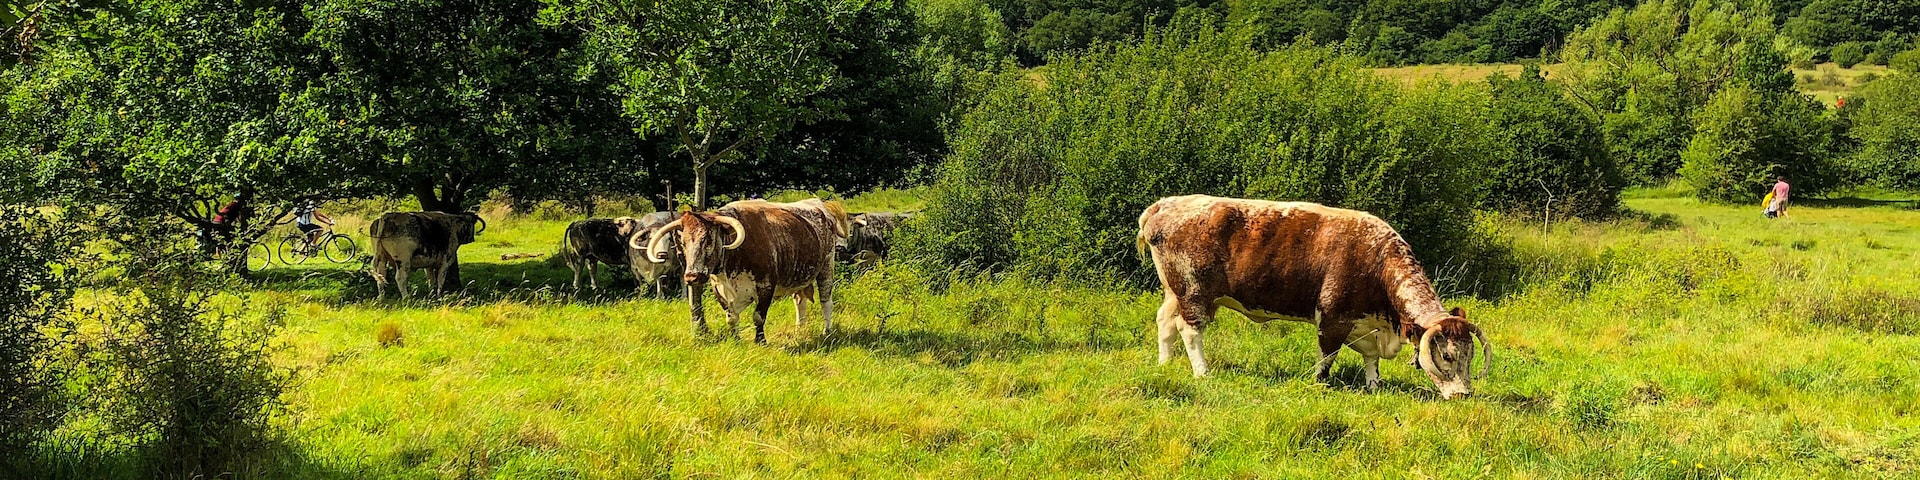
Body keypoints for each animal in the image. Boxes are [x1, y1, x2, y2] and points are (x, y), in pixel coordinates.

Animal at [638, 199, 849, 342]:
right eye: (682, 241)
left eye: (707, 239)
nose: (692, 276)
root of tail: (819, 204)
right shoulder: (719, 289)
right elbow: (731, 318)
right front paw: (736, 340)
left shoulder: (766, 286)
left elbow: (758, 317)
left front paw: (760, 341)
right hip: (799, 276)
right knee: (800, 301)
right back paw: (799, 329)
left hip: (827, 267)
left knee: (826, 301)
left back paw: (827, 331)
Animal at [1136, 195, 1490, 399]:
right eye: (1447, 355)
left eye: (1470, 355)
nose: (1465, 394)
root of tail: (1163, 205)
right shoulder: (1333, 317)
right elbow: (1327, 356)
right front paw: (1320, 383)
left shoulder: (1364, 324)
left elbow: (1371, 359)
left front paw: (1373, 386)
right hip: (1194, 293)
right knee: (1189, 329)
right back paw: (1202, 372)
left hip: (1173, 291)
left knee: (1165, 322)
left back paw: (1165, 365)